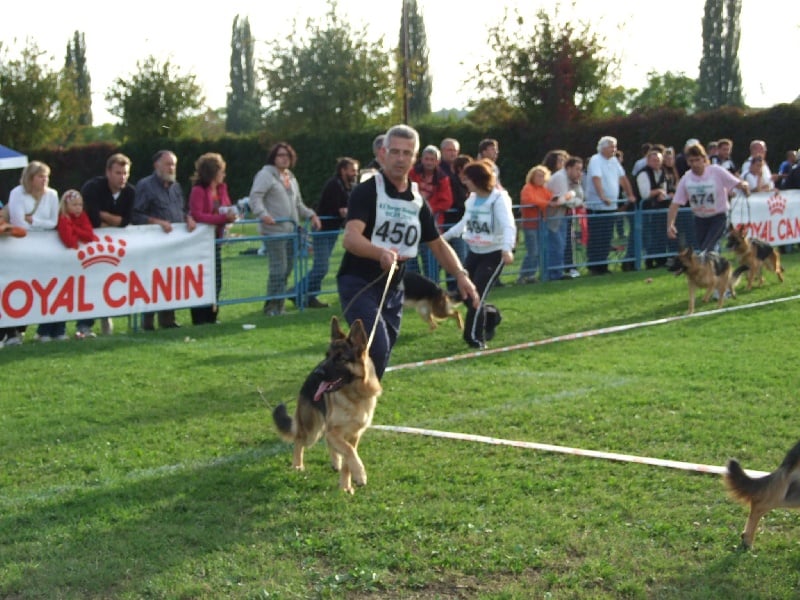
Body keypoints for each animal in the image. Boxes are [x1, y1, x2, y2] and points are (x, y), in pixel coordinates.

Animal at [274, 316, 382, 494]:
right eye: (327, 355)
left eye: (341, 358)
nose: (318, 373)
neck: (354, 397)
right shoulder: (336, 433)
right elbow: (349, 451)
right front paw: (360, 475)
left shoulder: (354, 435)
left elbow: (348, 457)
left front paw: (346, 485)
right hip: (311, 431)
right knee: (299, 439)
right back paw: (297, 465)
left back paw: (335, 461)